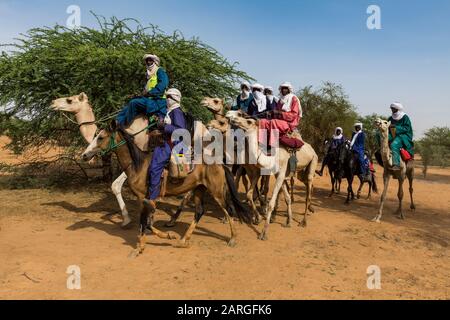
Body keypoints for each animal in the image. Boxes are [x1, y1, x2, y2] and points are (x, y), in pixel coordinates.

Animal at [81, 122, 253, 258]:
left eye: (100, 137)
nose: (84, 155)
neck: (137, 165)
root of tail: (219, 162)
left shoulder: (143, 197)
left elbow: (144, 222)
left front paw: (139, 248)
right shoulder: (146, 199)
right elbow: (147, 222)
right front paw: (167, 236)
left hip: (216, 191)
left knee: (229, 210)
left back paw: (232, 239)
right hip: (199, 189)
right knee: (199, 211)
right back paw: (183, 240)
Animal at [227, 112, 318, 240]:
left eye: (248, 121)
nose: (233, 119)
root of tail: (312, 149)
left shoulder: (280, 173)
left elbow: (271, 203)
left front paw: (263, 233)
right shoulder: (278, 174)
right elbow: (286, 198)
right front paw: (288, 222)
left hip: (314, 160)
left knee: (308, 193)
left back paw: (303, 221)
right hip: (301, 172)